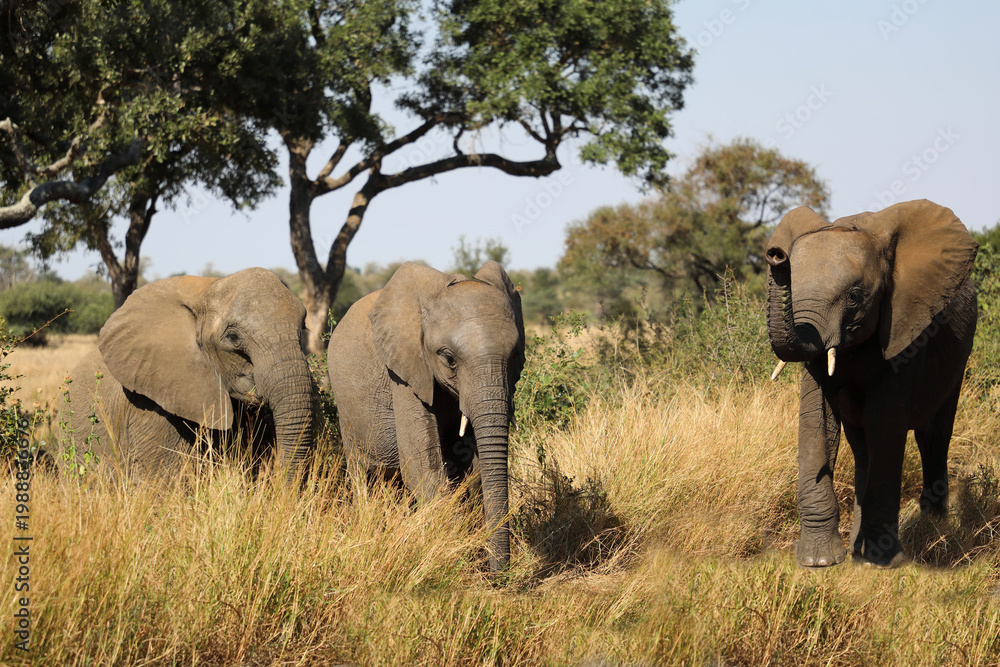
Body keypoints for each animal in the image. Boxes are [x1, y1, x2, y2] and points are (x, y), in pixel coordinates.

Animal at [327, 261, 525, 571]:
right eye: (449, 358)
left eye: (515, 353)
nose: (500, 575)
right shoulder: (403, 371)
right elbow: (422, 467)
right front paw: (456, 559)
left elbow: (473, 470)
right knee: (364, 475)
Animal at [765, 199, 978, 567]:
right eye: (793, 285)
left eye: (854, 296)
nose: (776, 254)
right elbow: (817, 422)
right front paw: (819, 562)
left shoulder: (906, 327)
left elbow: (886, 424)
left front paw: (883, 562)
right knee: (863, 446)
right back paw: (857, 549)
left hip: (957, 360)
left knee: (933, 436)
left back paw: (932, 530)